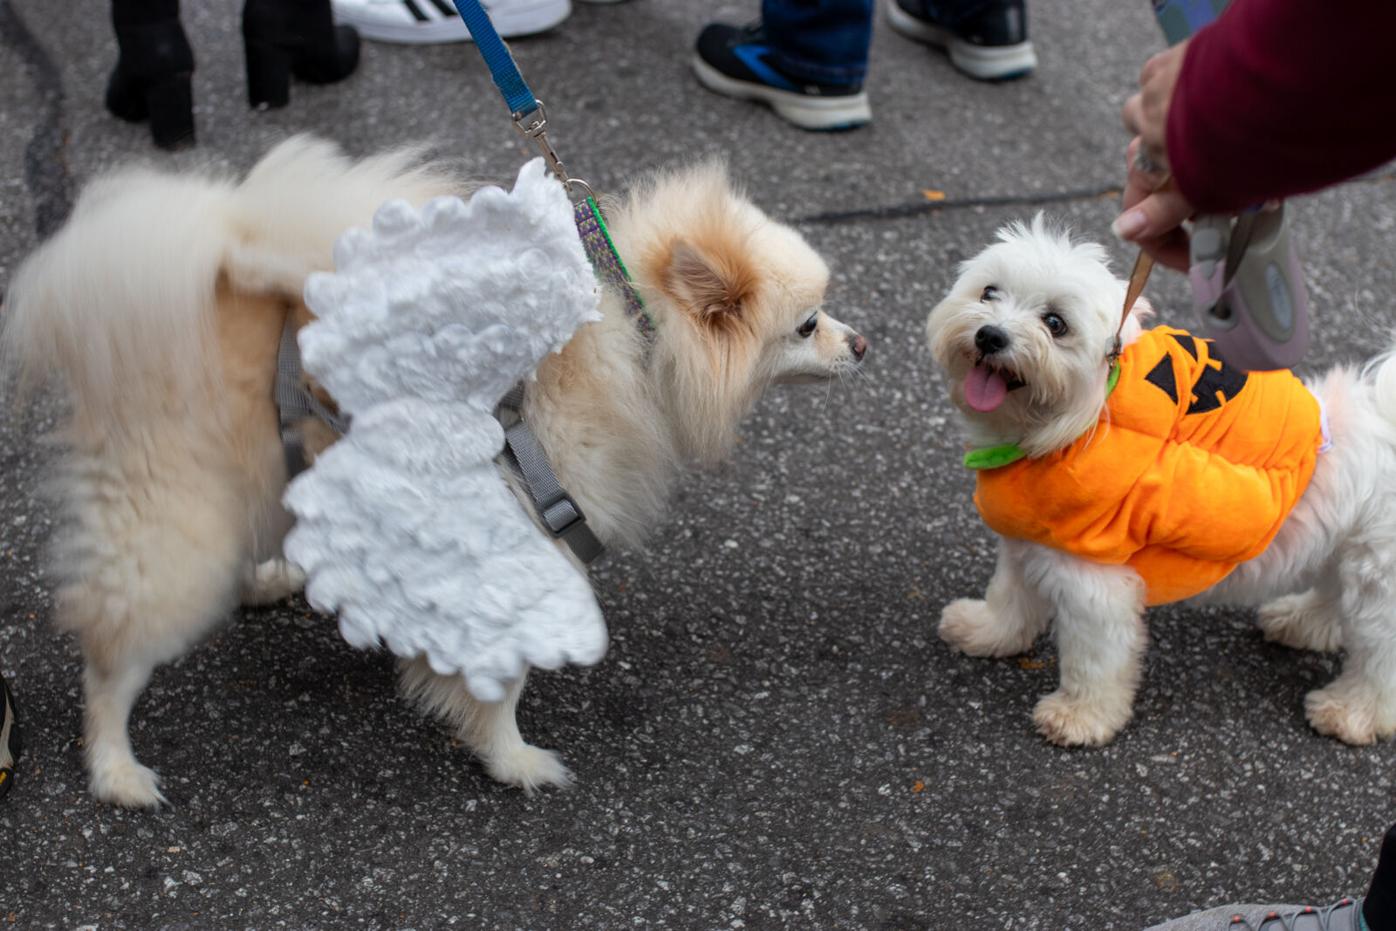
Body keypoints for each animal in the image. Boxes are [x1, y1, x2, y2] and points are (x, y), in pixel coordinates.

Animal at [5, 138, 865, 809]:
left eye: (825, 313)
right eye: (807, 325)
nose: (863, 344)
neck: (637, 330)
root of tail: (201, 276)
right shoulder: (515, 536)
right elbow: (505, 678)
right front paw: (512, 758)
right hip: (173, 525)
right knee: (111, 658)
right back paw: (116, 769)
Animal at [926, 216, 1396, 748]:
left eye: (1055, 323)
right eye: (989, 292)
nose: (990, 336)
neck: (1073, 422)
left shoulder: (1095, 584)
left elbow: (1094, 659)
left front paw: (1080, 716)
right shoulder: (1026, 541)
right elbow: (1008, 595)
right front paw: (986, 631)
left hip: (1379, 577)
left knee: (1379, 655)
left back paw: (1352, 711)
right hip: (1346, 550)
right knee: (1336, 594)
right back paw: (1302, 622)